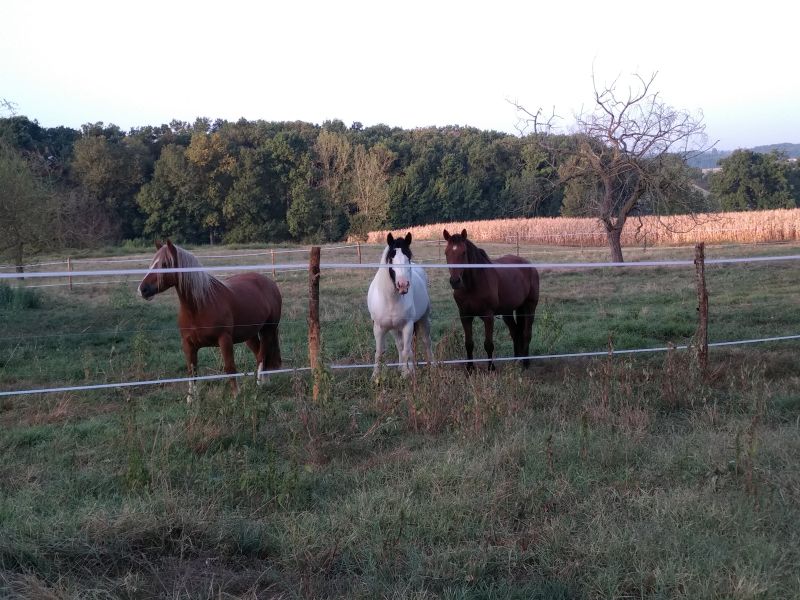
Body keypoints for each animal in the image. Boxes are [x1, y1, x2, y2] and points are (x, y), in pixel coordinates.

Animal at [139, 238, 282, 398]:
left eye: (165, 264)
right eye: (152, 263)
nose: (143, 289)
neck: (199, 307)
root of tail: (269, 283)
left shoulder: (224, 340)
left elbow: (230, 368)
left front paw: (236, 395)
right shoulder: (188, 344)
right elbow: (192, 371)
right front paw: (191, 399)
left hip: (268, 330)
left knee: (262, 356)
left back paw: (259, 384)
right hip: (249, 335)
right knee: (261, 354)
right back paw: (264, 382)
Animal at [368, 232, 434, 378]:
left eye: (408, 257)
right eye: (391, 258)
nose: (403, 285)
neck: (390, 299)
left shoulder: (408, 326)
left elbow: (406, 351)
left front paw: (405, 374)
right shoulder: (379, 328)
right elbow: (379, 352)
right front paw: (375, 376)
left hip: (423, 320)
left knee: (426, 342)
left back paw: (432, 367)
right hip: (394, 328)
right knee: (400, 345)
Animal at [440, 230, 540, 370]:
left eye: (463, 252)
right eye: (446, 252)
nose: (455, 281)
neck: (472, 285)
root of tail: (530, 265)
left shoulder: (488, 316)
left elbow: (488, 344)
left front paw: (491, 368)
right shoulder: (465, 316)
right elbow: (468, 343)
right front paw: (470, 368)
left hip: (529, 307)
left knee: (526, 333)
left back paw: (525, 363)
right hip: (508, 311)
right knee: (515, 332)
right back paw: (515, 361)